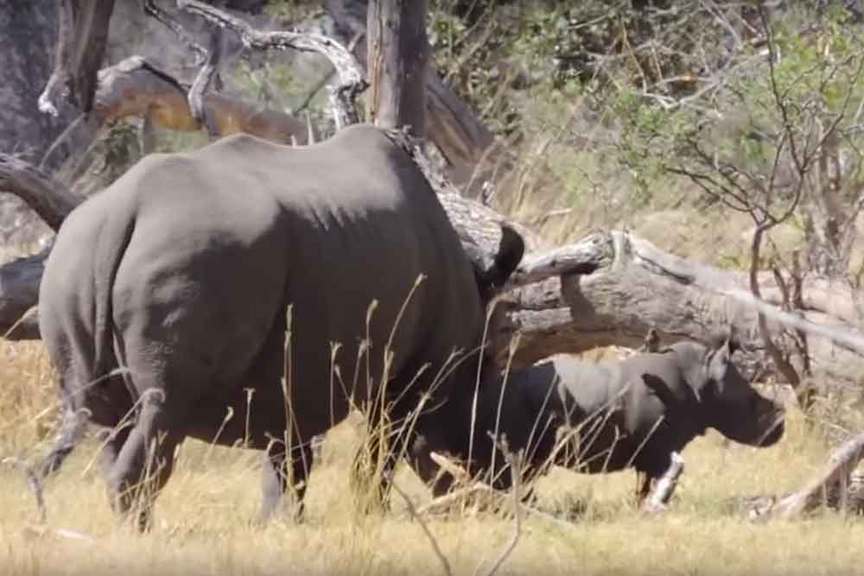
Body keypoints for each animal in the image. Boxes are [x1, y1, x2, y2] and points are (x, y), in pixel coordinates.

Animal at [37, 124, 524, 528]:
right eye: (485, 368)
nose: (498, 488)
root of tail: (124, 210)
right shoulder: (410, 376)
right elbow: (383, 448)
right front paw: (370, 515)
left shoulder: (296, 374)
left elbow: (290, 457)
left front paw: (279, 525)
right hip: (190, 260)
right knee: (166, 406)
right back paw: (141, 536)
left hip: (70, 265)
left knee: (107, 419)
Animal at [416, 332, 788, 500]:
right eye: (751, 403)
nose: (779, 429)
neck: (703, 382)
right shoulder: (657, 448)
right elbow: (654, 483)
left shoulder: (653, 451)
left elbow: (646, 486)